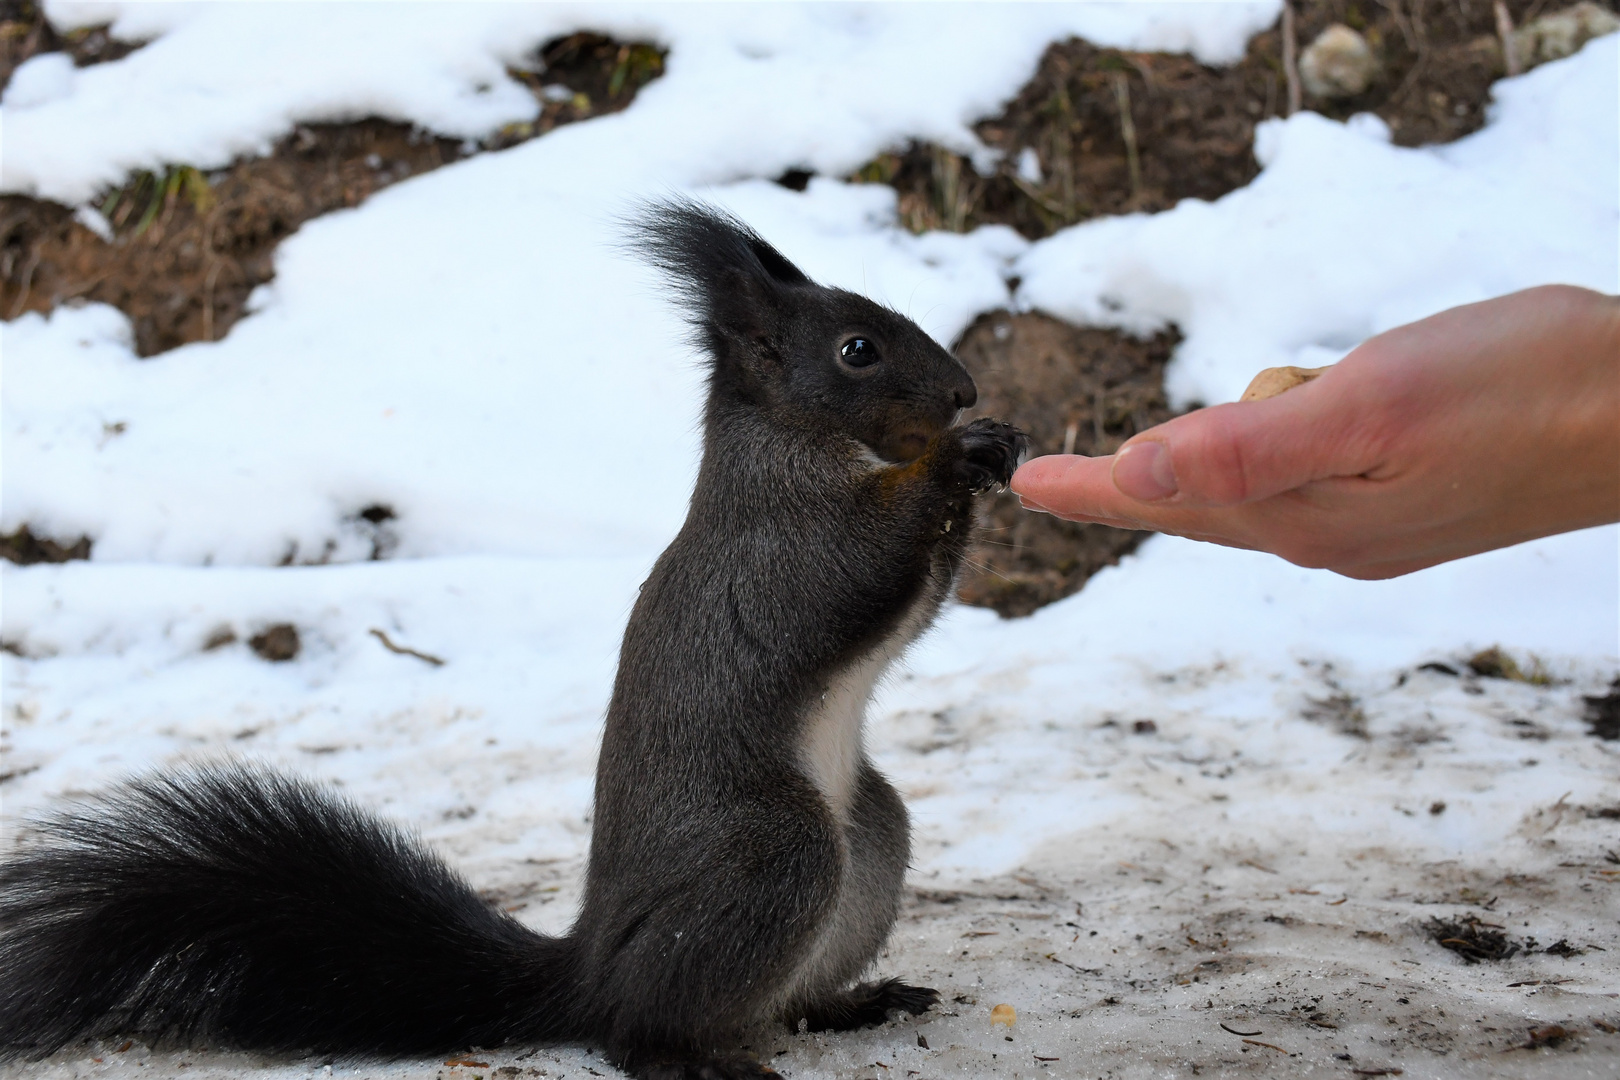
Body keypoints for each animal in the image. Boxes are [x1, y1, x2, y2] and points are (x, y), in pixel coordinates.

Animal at [0, 204, 1023, 1080]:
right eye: (858, 349)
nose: (965, 390)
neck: (800, 447)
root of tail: (590, 971)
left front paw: (998, 452)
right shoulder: (786, 550)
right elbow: (862, 565)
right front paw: (957, 457)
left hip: (870, 831)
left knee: (783, 992)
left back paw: (851, 1003)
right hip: (777, 851)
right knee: (639, 1025)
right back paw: (683, 1053)